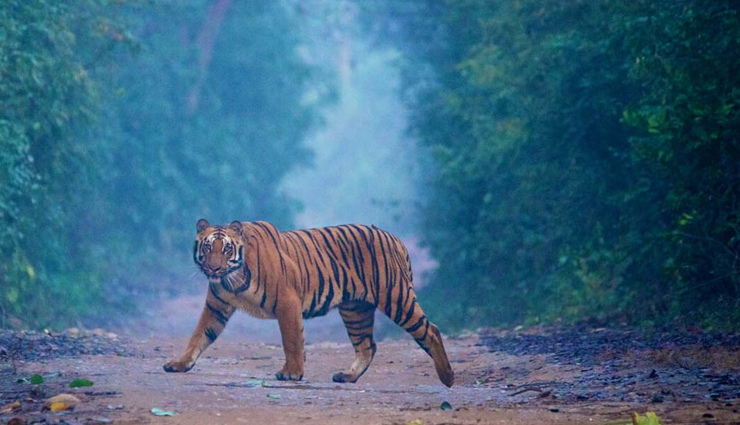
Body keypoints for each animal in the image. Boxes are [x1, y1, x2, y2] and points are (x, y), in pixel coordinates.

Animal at [163, 219, 454, 387]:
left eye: (226, 249)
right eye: (207, 247)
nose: (213, 269)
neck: (232, 279)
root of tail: (395, 238)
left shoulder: (287, 302)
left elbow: (292, 340)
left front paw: (291, 373)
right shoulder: (216, 307)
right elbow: (199, 336)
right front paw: (179, 364)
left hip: (396, 297)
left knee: (430, 330)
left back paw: (448, 378)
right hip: (355, 309)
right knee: (367, 346)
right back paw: (347, 376)